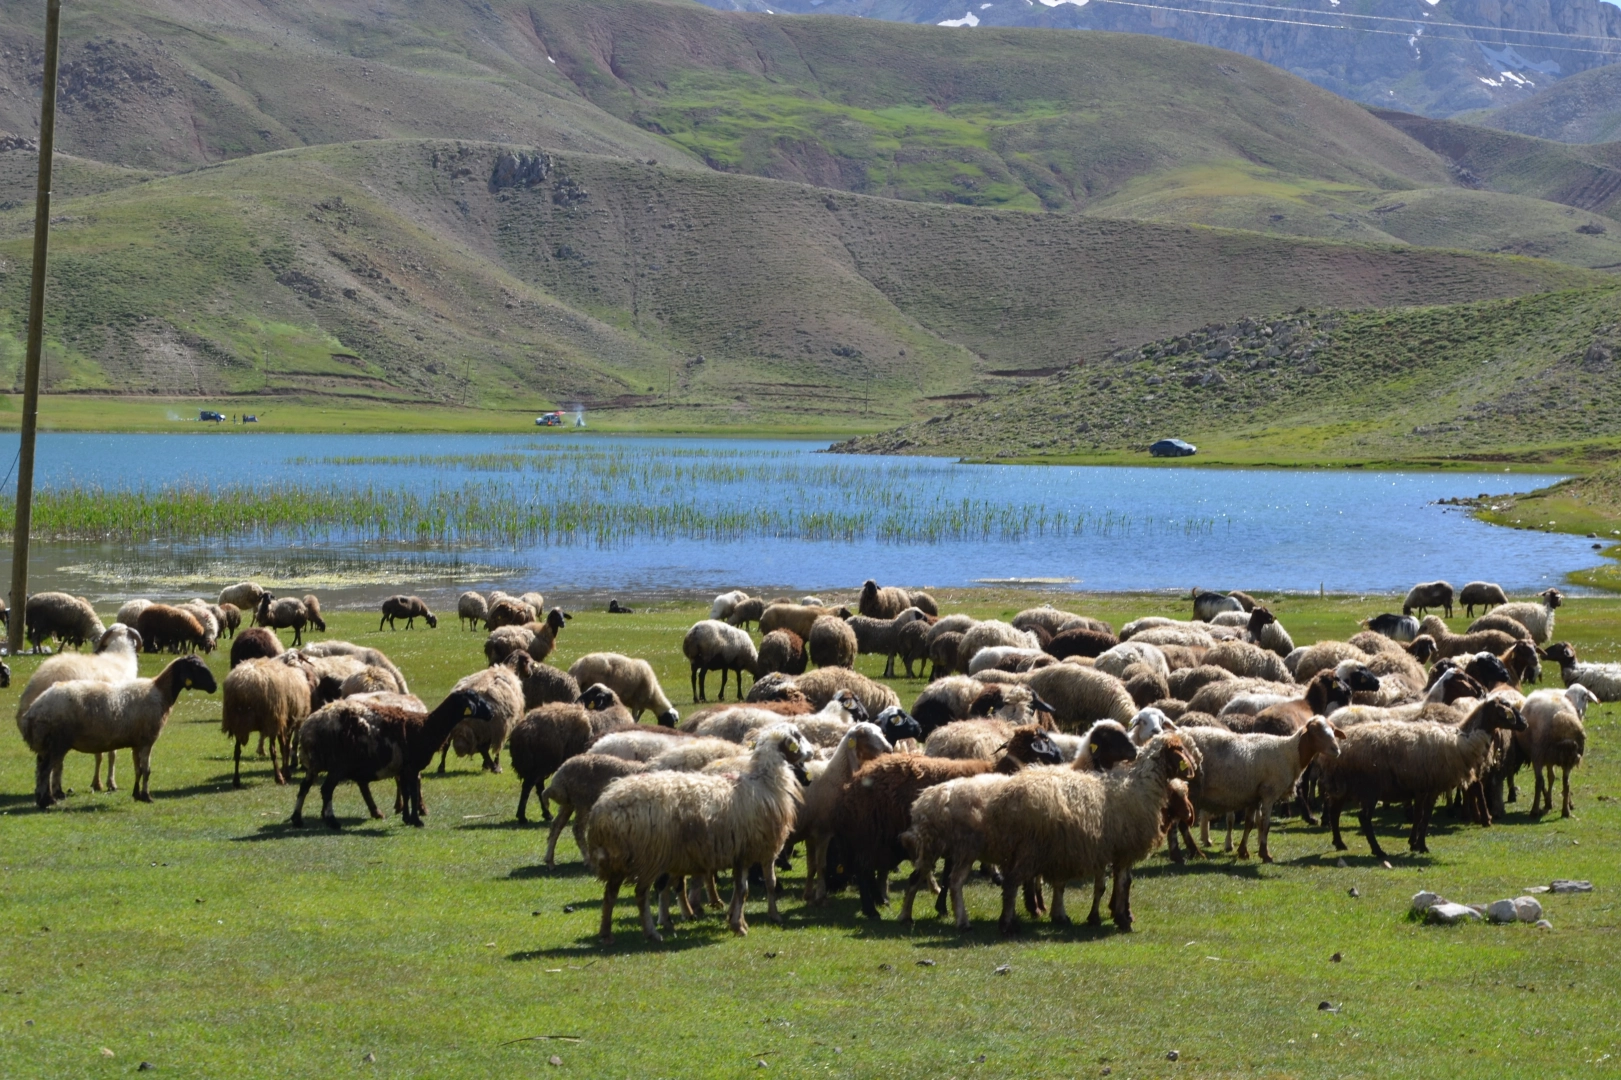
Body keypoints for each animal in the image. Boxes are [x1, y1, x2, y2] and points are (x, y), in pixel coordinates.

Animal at [15, 619, 142, 794]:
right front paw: (108, 783)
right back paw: (56, 789)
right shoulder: (113, 720)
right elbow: (110, 754)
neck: (120, 657)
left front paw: (97, 783)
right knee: (55, 762)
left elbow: (100, 754)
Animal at [291, 684, 489, 827]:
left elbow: (407, 793)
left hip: (314, 762)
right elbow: (413, 792)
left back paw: (297, 818)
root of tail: (310, 727)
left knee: (304, 787)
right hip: (338, 764)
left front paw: (407, 818)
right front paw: (416, 820)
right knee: (326, 789)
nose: (492, 713)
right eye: (476, 699)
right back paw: (332, 821)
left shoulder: (403, 769)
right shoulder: (412, 767)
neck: (427, 726)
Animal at [586, 723, 807, 940]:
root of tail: (601, 810)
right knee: (641, 894)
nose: (810, 753)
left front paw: (737, 921)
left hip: (620, 858)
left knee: (611, 892)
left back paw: (606, 933)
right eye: (798, 736)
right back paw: (651, 932)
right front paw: (742, 924)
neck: (764, 782)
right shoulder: (750, 850)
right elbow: (746, 889)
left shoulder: (739, 853)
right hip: (648, 856)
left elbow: (741, 890)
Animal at [972, 732, 1206, 934]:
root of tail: (1005, 797)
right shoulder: (1124, 848)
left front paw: (1114, 916)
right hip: (1029, 847)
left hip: (1018, 849)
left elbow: (1118, 883)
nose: (1195, 769)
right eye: (1181, 749)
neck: (1142, 784)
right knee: (1011, 883)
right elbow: (1123, 883)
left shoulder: (1116, 849)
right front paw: (1122, 919)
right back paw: (1008, 924)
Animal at [1322, 697, 1523, 856]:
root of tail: (1342, 747)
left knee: (1335, 812)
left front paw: (1414, 843)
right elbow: (1426, 817)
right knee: (1363, 818)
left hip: (1344, 784)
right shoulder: (1433, 786)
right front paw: (1422, 846)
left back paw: (1339, 843)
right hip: (1369, 788)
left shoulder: (1421, 787)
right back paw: (1378, 851)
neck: (1461, 739)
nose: (1525, 724)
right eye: (1506, 710)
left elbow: (1419, 816)